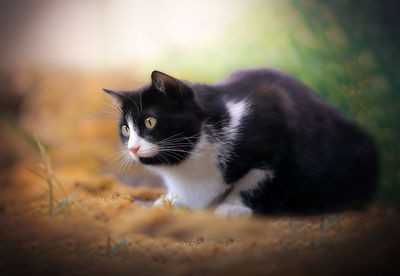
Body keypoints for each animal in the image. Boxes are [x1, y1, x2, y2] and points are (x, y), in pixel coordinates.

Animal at [104, 68, 378, 217]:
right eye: (126, 129)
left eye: (150, 121)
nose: (133, 147)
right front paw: (173, 199)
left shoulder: (273, 130)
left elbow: (255, 178)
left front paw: (232, 207)